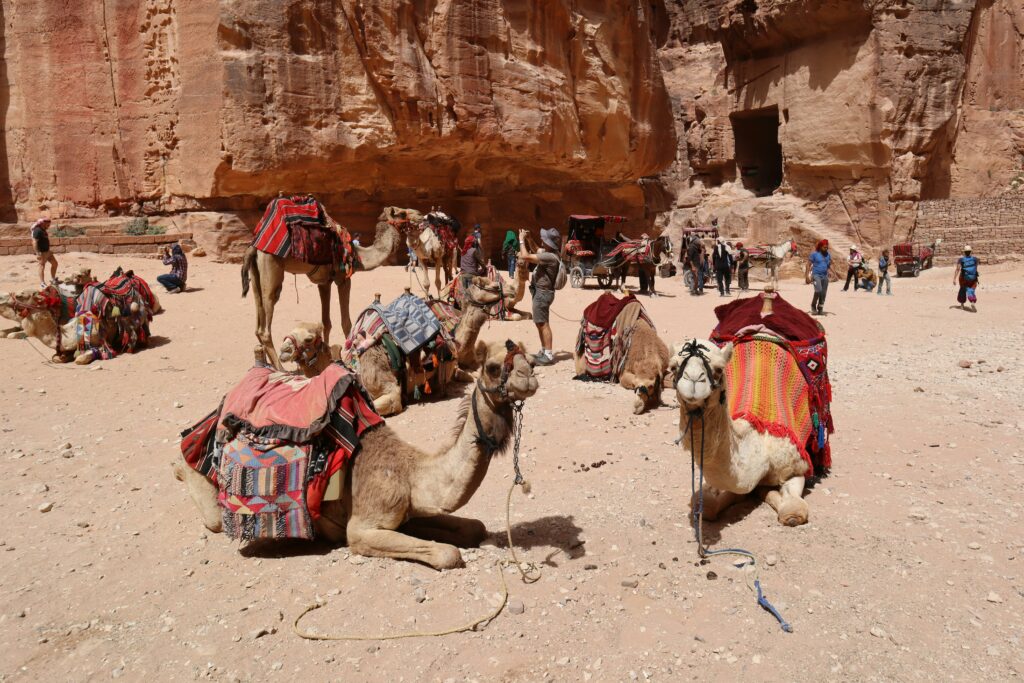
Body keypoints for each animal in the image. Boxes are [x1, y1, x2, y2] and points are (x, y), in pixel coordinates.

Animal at [173, 339, 539, 569]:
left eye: (532, 361)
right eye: (493, 367)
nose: (529, 379)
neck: (412, 473)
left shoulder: (410, 510)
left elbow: (474, 528)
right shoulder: (362, 526)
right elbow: (448, 553)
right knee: (207, 505)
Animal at [241, 206, 410, 370]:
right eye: (401, 213)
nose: (416, 217)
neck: (359, 256)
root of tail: (253, 247)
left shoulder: (324, 282)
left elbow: (326, 322)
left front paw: (326, 354)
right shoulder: (343, 279)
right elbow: (346, 323)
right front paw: (349, 357)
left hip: (256, 277)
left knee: (258, 320)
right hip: (271, 268)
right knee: (265, 324)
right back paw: (281, 369)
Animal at [669, 339, 811, 527]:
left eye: (719, 369)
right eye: (673, 367)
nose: (693, 380)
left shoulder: (796, 466)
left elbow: (794, 511)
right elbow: (708, 505)